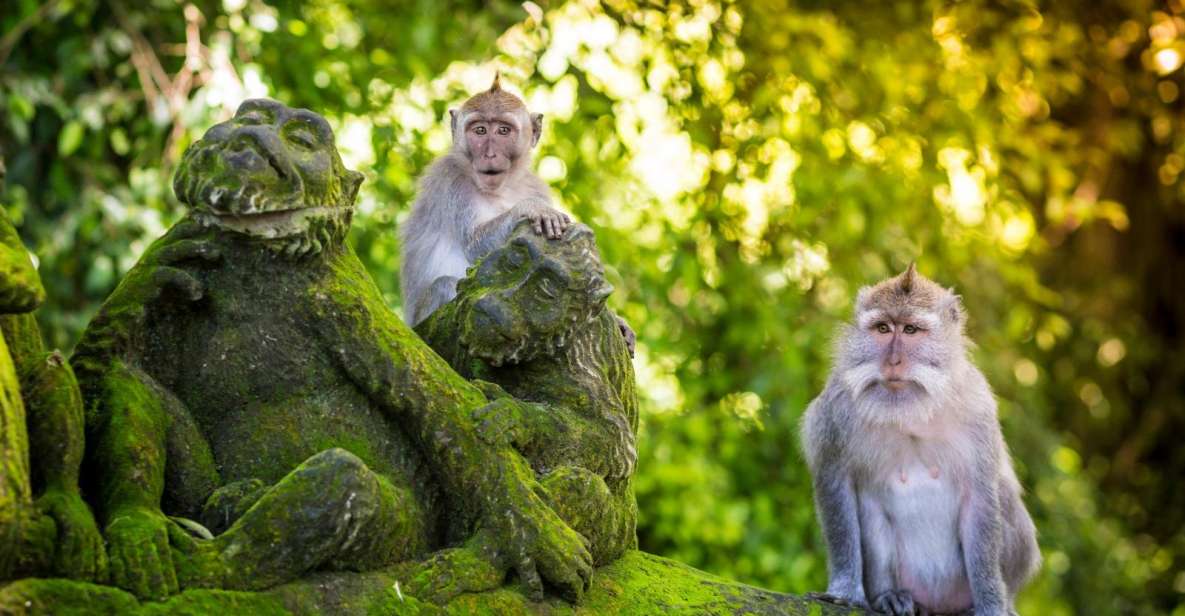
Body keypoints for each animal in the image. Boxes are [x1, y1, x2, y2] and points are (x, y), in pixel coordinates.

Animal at [801, 264, 1040, 616]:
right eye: (883, 328)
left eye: (911, 329)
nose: (892, 362)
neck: (910, 409)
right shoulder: (836, 409)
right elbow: (836, 485)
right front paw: (845, 589)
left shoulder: (977, 407)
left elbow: (981, 497)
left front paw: (992, 606)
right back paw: (890, 596)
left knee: (1005, 495)